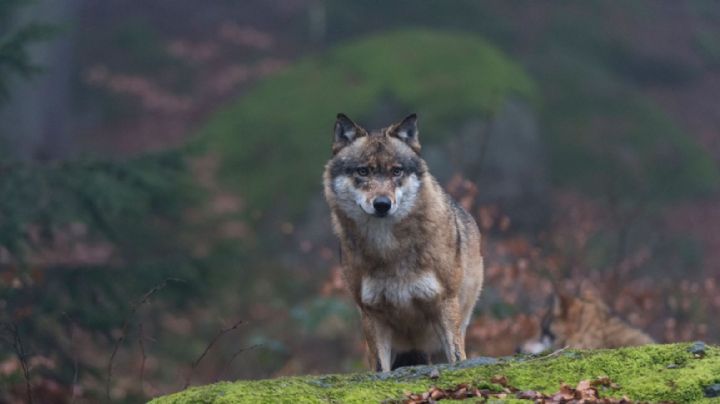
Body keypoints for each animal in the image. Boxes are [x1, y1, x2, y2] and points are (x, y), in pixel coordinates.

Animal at [323, 113, 484, 372]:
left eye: (396, 171)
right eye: (363, 171)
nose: (382, 204)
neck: (389, 249)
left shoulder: (445, 303)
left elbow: (457, 358)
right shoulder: (371, 314)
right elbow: (380, 368)